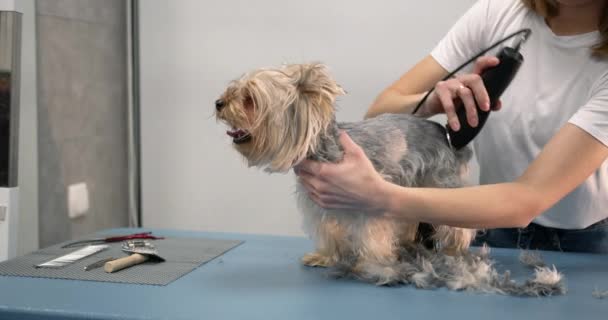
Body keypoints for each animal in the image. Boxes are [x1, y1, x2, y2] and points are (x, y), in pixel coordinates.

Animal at [215, 62, 564, 296]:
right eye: (232, 90)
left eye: (250, 99)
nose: (218, 103)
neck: (321, 146)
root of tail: (447, 133)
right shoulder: (322, 206)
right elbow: (330, 231)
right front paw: (325, 257)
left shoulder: (367, 200)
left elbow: (372, 236)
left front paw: (378, 267)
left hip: (441, 182)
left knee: (457, 229)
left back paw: (452, 252)